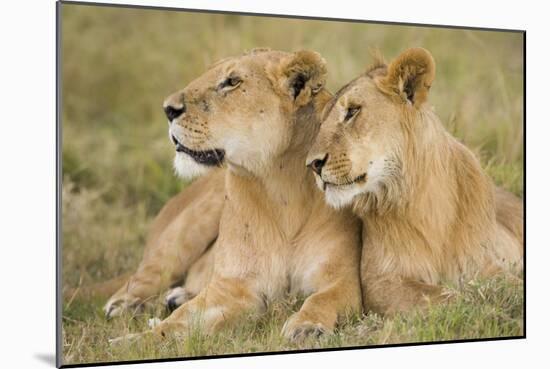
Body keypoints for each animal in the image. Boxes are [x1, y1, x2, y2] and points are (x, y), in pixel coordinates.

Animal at [111, 49, 362, 342]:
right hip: (186, 230)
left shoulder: (342, 279)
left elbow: (321, 299)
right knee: (145, 275)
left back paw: (176, 296)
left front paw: (307, 326)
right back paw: (125, 305)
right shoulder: (231, 286)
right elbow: (176, 322)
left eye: (231, 82)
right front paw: (131, 342)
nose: (168, 109)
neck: (282, 187)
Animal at [308, 47, 524, 314]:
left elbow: (510, 286)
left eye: (353, 111)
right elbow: (449, 297)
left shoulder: (483, 263)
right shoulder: (380, 281)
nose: (312, 164)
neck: (423, 198)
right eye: (321, 123)